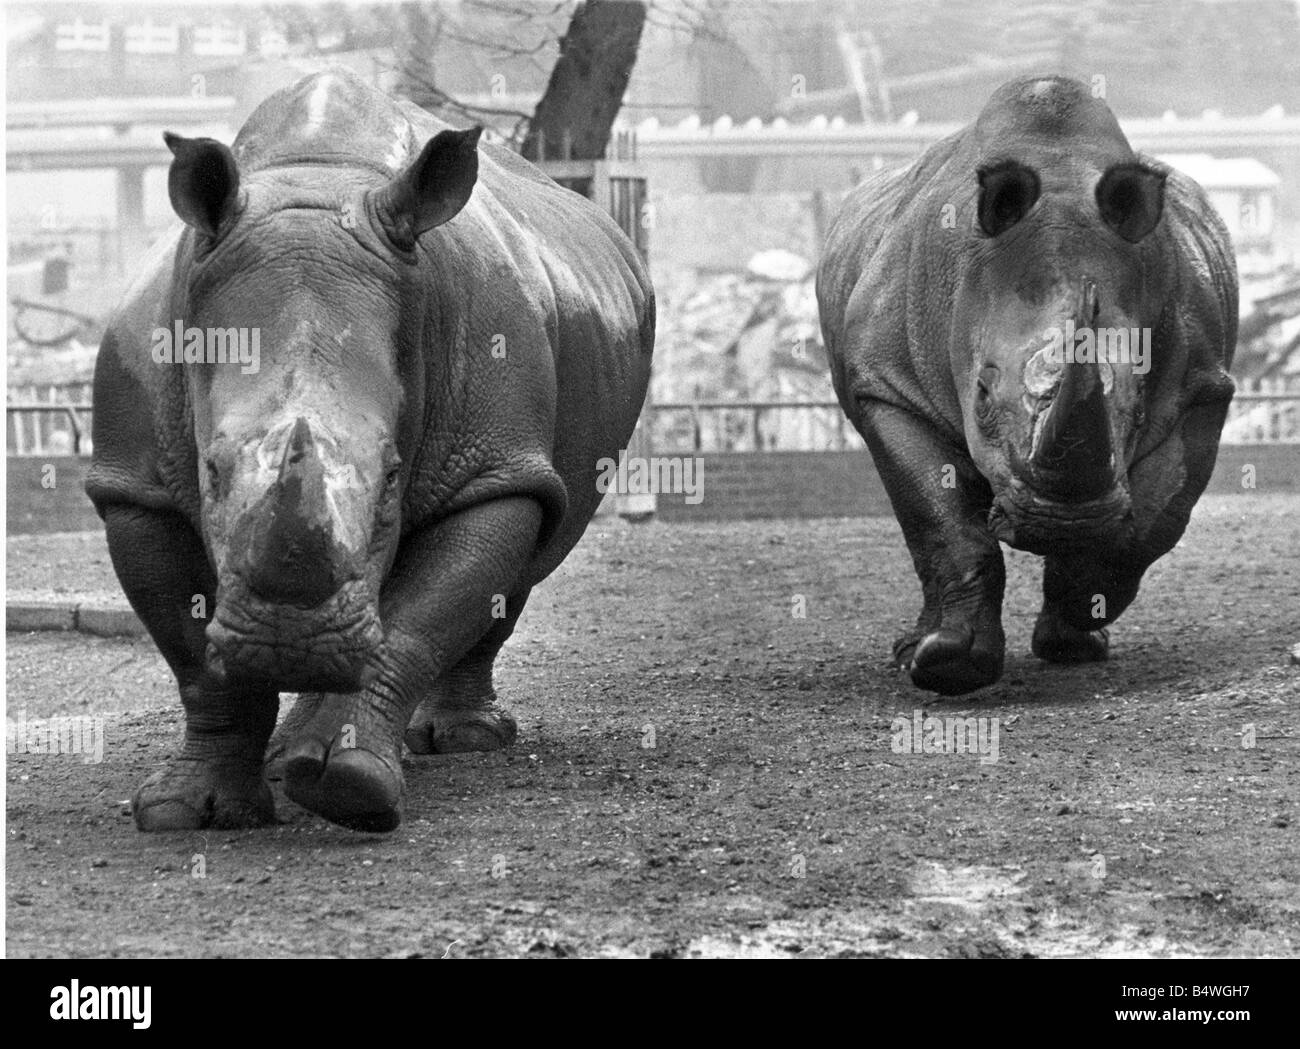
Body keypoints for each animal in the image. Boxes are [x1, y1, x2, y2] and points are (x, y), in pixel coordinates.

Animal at [86, 70, 654, 831]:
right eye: (211, 470)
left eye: (391, 476)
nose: (289, 639)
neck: (317, 177)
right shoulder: (136, 485)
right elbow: (193, 656)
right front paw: (187, 811)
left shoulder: (492, 464)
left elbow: (420, 621)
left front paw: (349, 788)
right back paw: (290, 753)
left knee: (533, 547)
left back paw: (453, 740)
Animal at [816, 76, 1237, 695]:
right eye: (983, 398)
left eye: (1137, 412)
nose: (1062, 525)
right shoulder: (886, 386)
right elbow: (940, 521)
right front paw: (948, 666)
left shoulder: (1203, 387)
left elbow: (1152, 525)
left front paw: (1077, 618)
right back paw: (912, 652)